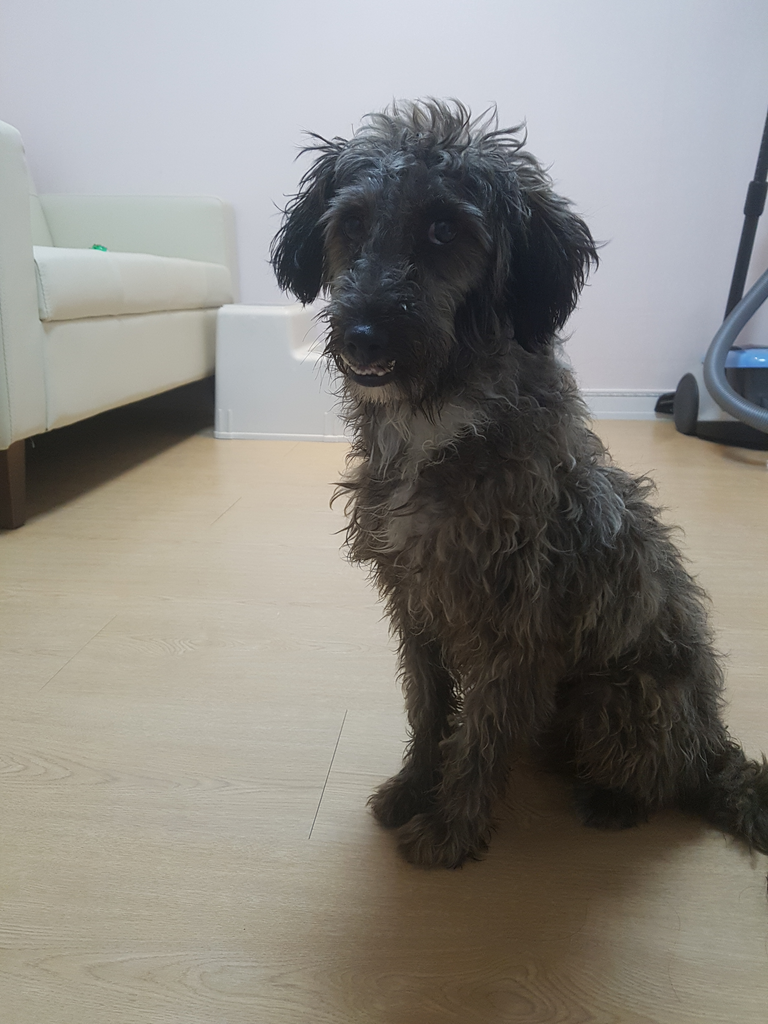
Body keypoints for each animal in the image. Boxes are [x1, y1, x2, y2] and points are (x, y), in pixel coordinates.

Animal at [271, 99, 768, 869]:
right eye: (351, 223)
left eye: (445, 229)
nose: (362, 337)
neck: (439, 418)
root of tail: (715, 742)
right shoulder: (415, 605)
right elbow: (428, 708)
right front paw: (414, 786)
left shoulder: (518, 628)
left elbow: (480, 732)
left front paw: (452, 829)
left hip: (614, 696)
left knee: (663, 776)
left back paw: (613, 801)